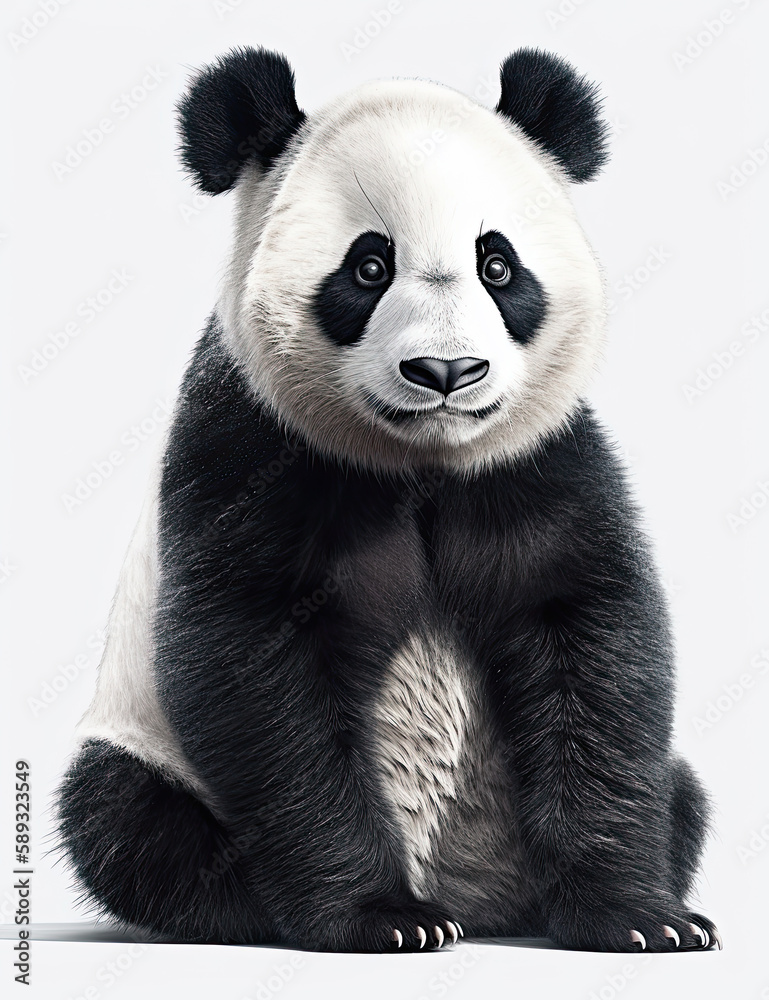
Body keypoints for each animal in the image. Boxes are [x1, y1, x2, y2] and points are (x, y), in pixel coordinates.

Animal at [57, 45, 720, 954]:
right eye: (368, 268)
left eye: (496, 265)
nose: (446, 372)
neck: (422, 460)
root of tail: (477, 896)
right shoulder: (248, 446)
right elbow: (256, 665)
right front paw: (382, 918)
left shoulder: (538, 462)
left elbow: (592, 639)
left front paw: (639, 918)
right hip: (142, 746)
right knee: (122, 816)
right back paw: (263, 907)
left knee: (679, 789)